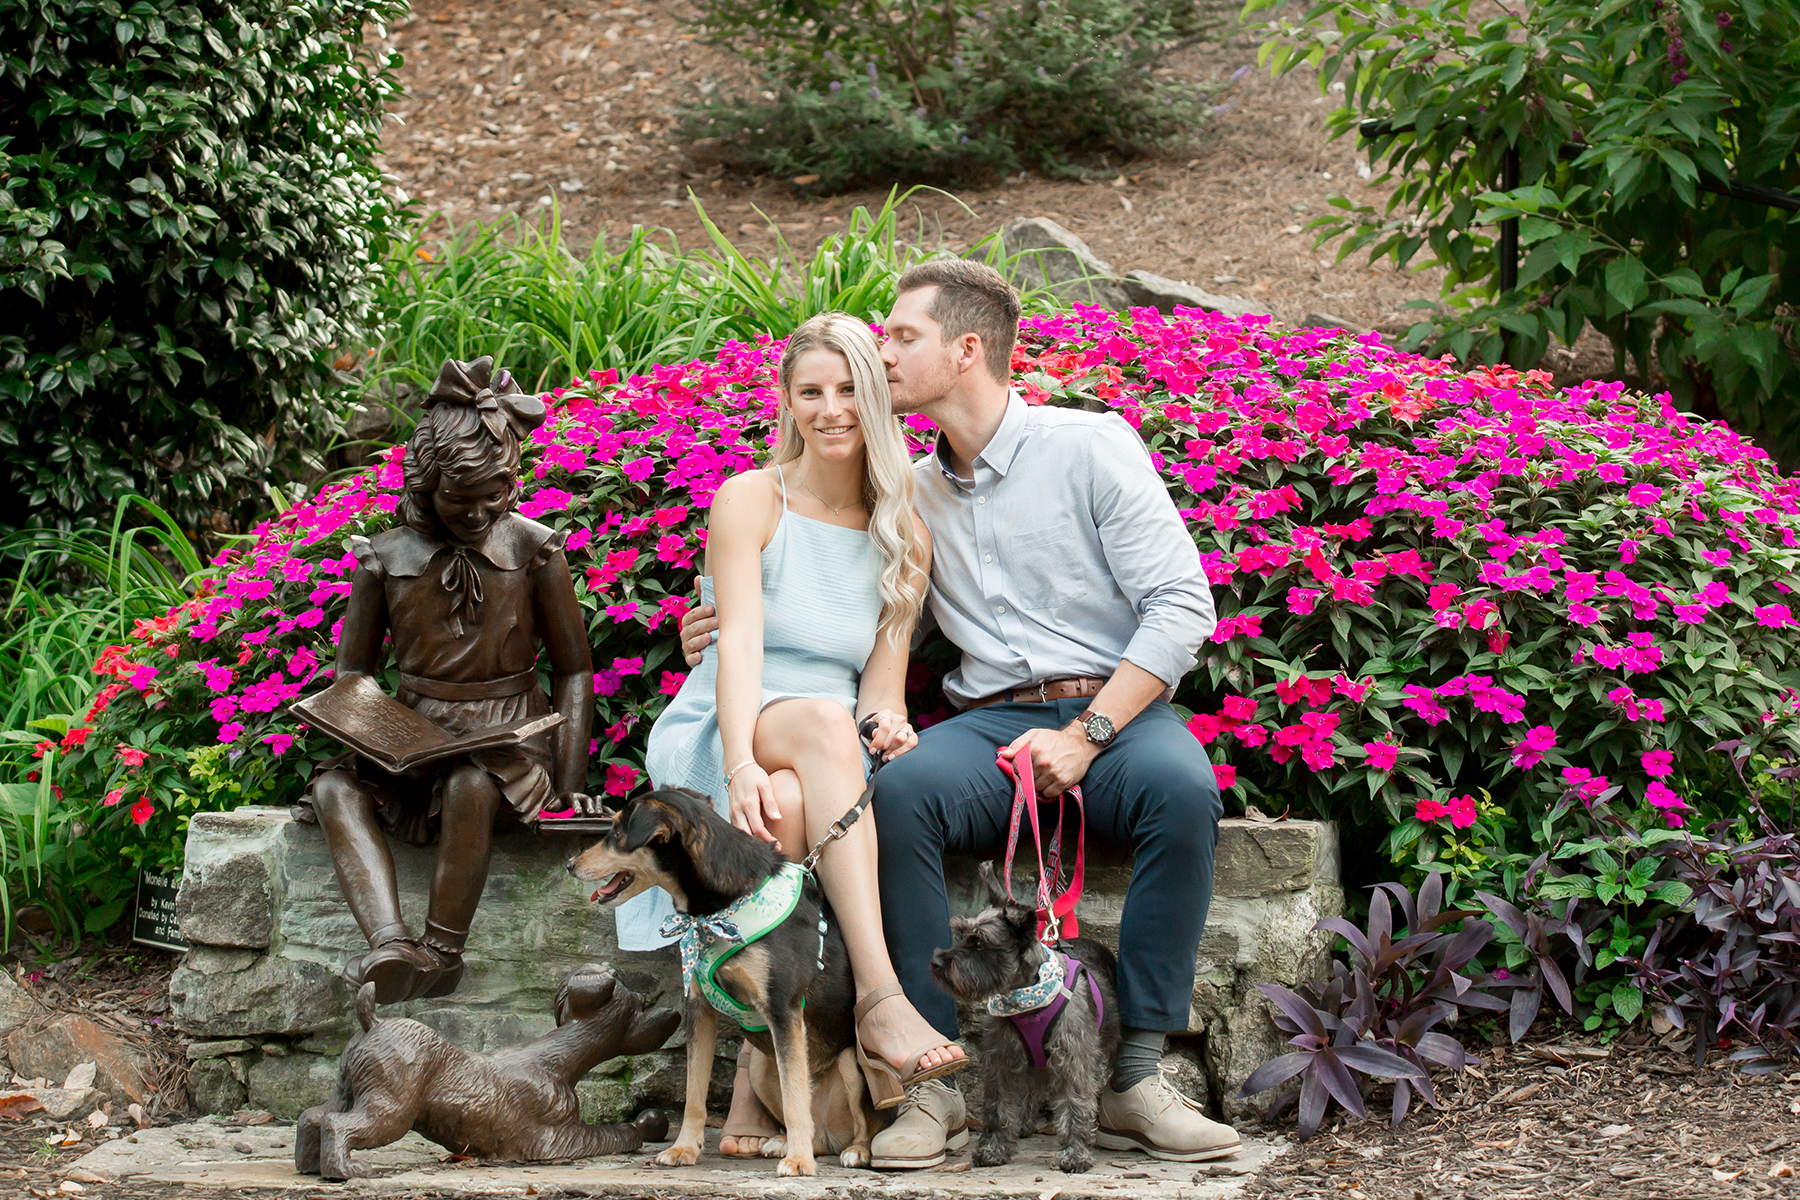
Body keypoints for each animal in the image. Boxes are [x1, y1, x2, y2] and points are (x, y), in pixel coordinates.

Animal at [561, 788, 871, 1173]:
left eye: (618, 832)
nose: (570, 864)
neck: (716, 910)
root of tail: (830, 1135)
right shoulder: (699, 1008)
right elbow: (694, 1093)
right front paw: (683, 1148)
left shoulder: (784, 1010)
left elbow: (795, 1095)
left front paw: (800, 1161)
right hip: (761, 1066)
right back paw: (784, 1142)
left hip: (849, 1062)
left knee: (863, 1121)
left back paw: (850, 1149)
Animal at [936, 859, 1116, 1180]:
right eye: (960, 933)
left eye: (979, 943)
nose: (937, 963)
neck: (1026, 997)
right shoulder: (1001, 1057)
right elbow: (997, 1106)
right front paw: (994, 1149)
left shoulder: (1074, 1058)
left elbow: (1075, 1103)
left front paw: (1075, 1153)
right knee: (1031, 1088)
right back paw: (1023, 1123)